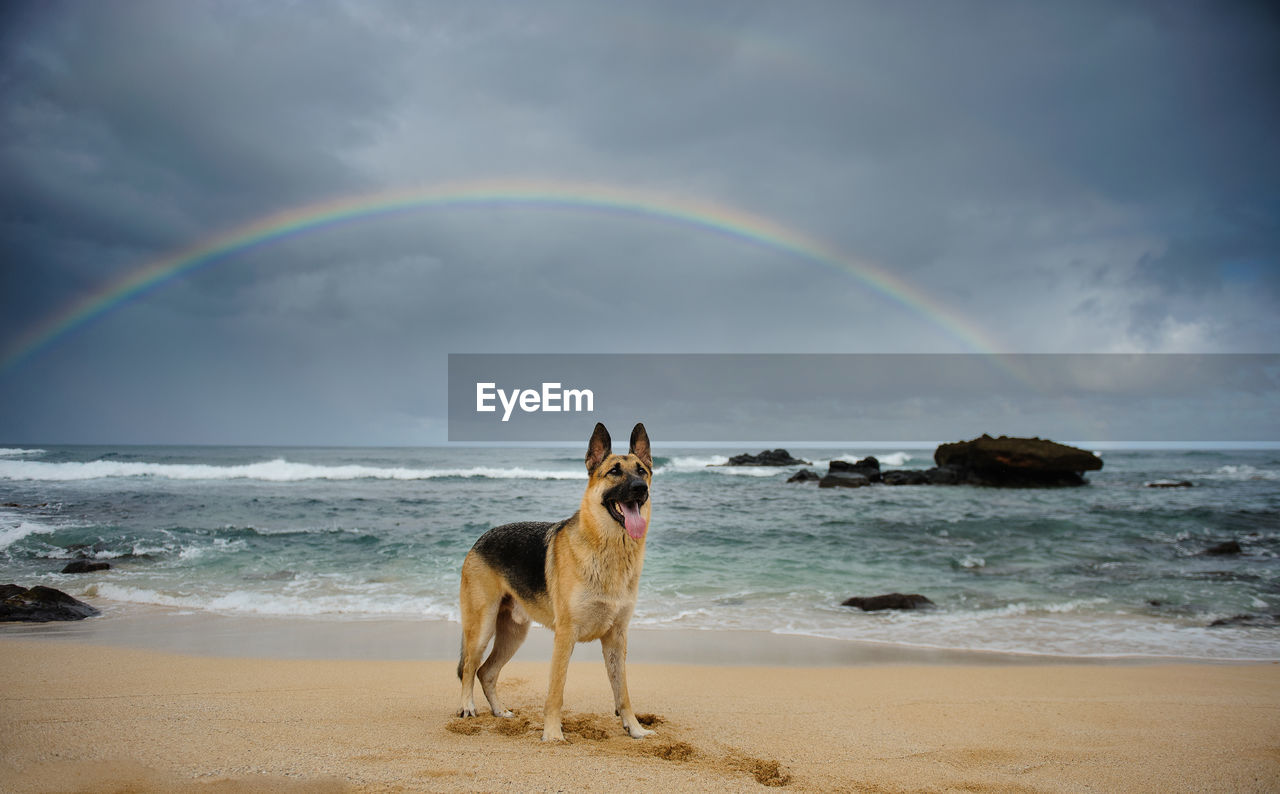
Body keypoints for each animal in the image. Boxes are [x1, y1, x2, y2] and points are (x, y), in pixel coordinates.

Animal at [458, 425, 655, 742]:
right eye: (614, 471)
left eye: (642, 471)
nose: (640, 488)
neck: (607, 549)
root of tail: (479, 539)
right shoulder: (565, 636)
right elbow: (556, 690)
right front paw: (552, 733)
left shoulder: (616, 639)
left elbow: (622, 692)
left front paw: (635, 728)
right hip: (482, 628)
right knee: (469, 667)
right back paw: (467, 707)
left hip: (514, 634)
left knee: (486, 672)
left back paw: (499, 711)